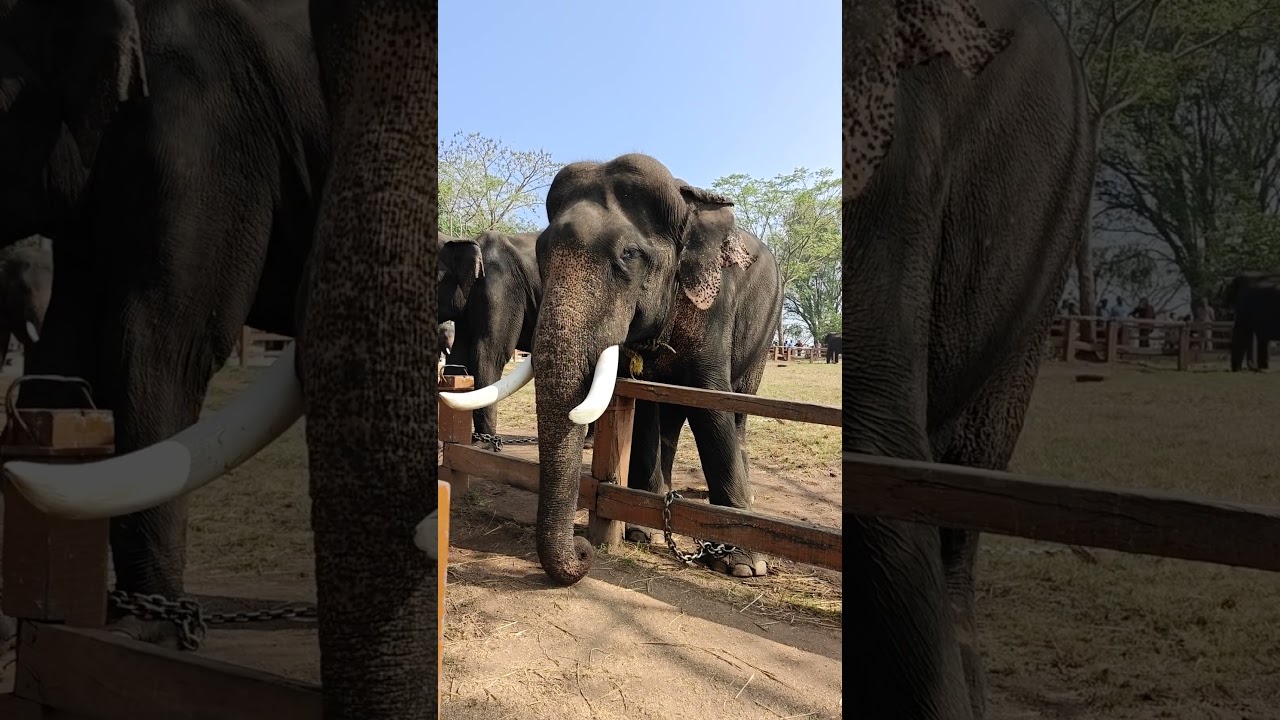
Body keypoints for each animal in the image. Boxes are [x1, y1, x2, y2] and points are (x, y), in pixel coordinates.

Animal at [443, 154, 783, 583]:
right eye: (541, 252)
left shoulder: (713, 303)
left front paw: (743, 565)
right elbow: (643, 405)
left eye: (629, 255)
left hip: (767, 323)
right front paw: (639, 532)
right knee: (668, 417)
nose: (584, 550)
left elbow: (709, 401)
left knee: (738, 409)